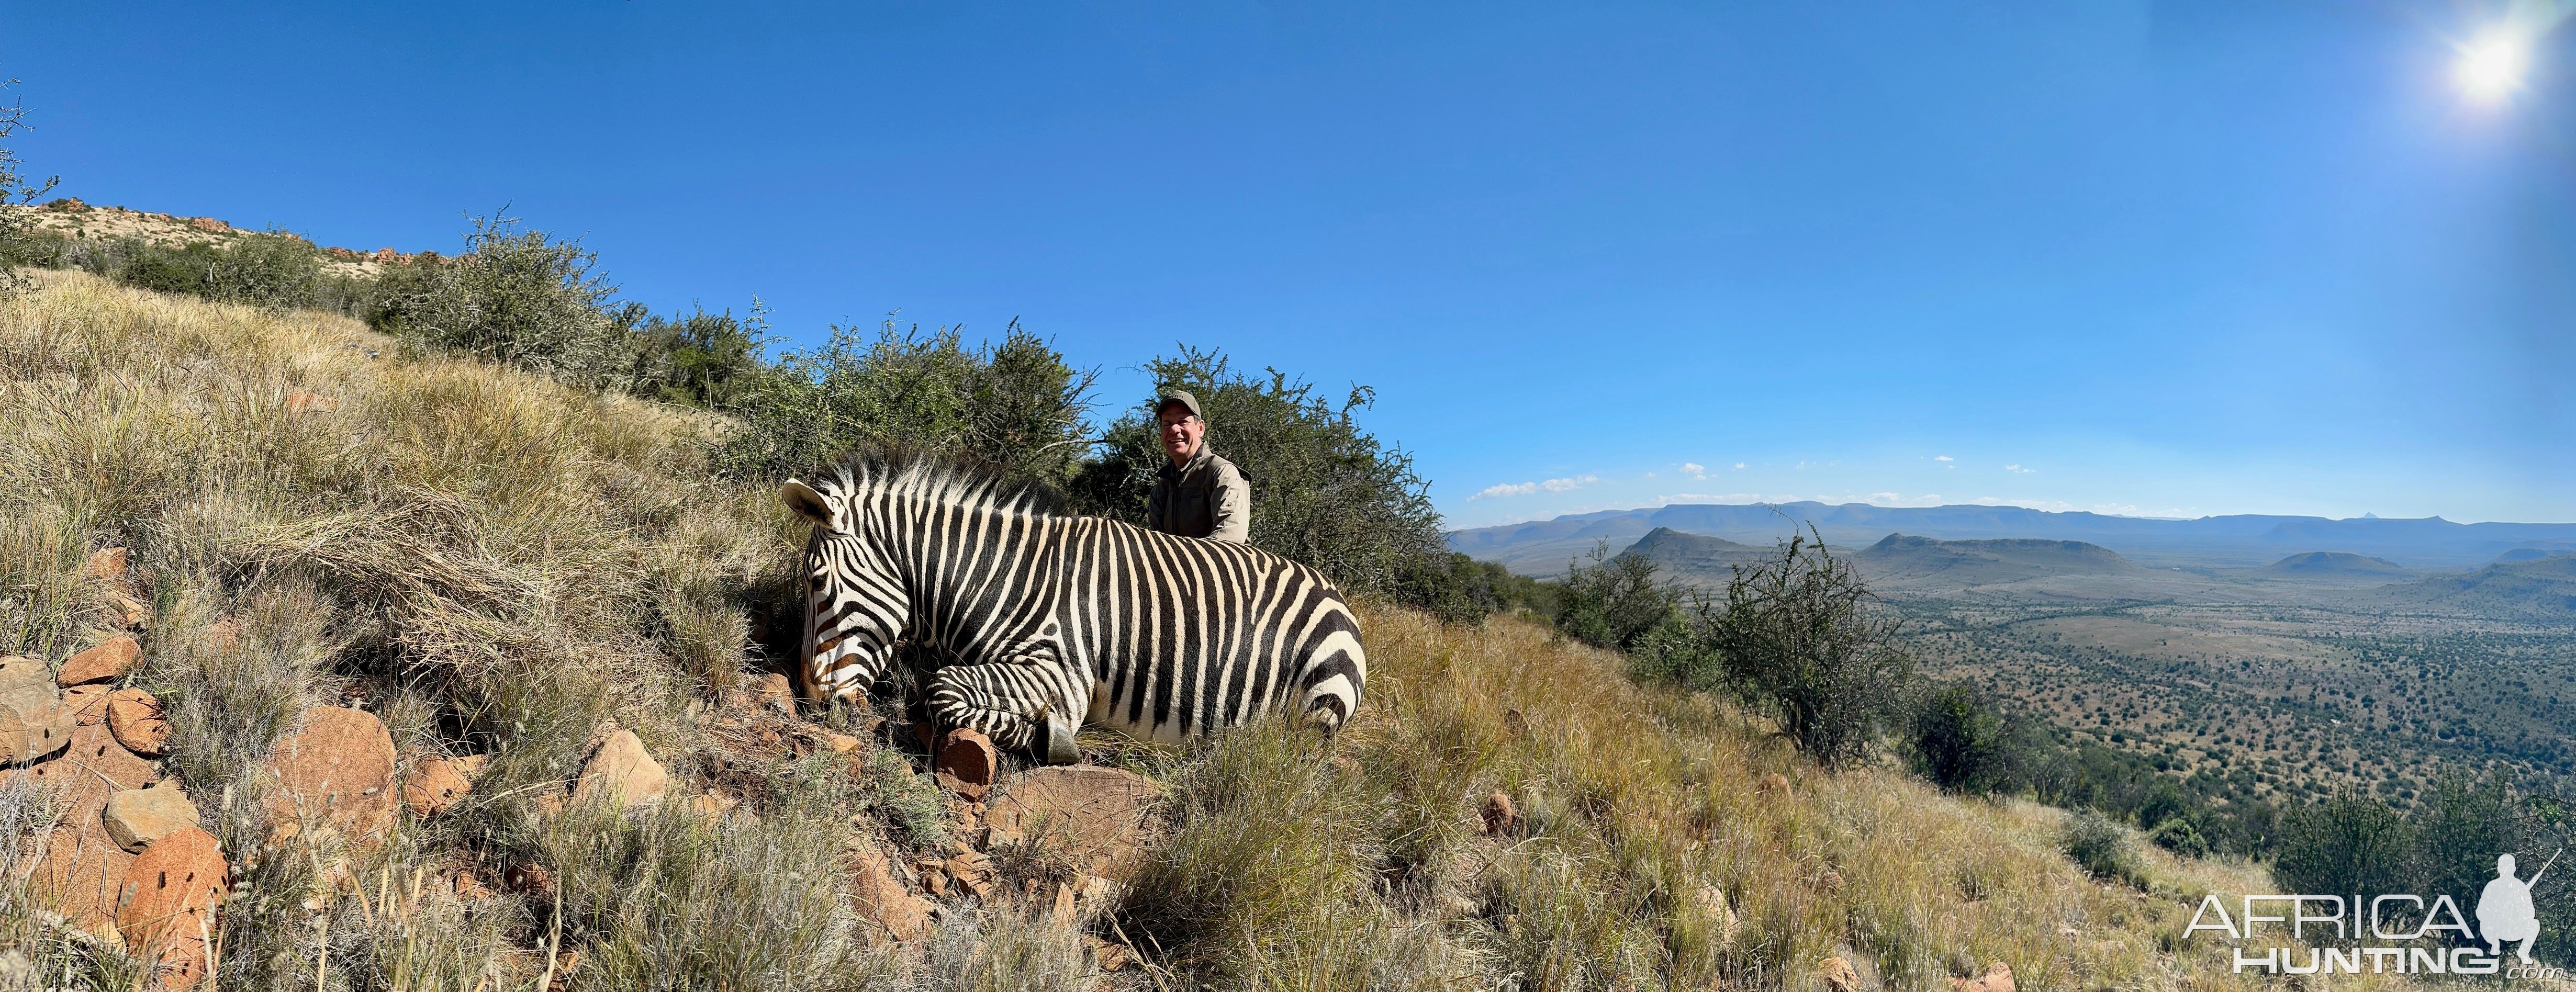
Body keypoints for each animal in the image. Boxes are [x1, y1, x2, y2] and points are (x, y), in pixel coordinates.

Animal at [778, 453, 1370, 762]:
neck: (1001, 578)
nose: (810, 698)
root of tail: (1337, 593)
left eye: (816, 581)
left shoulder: (1061, 672)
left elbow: (942, 690)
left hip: (1313, 710)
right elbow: (938, 683)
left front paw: (1055, 740)